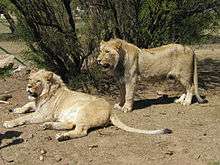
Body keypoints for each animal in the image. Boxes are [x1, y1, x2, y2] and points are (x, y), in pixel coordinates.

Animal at [3, 69, 172, 141]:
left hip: (83, 112)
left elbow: (24, 118)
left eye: (38, 81)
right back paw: (49, 126)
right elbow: (27, 104)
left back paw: (62, 136)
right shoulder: (37, 105)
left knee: (80, 131)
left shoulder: (43, 114)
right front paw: (17, 109)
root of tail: (111, 109)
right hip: (71, 115)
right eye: (29, 79)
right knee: (70, 125)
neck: (43, 94)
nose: (28, 87)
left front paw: (9, 122)